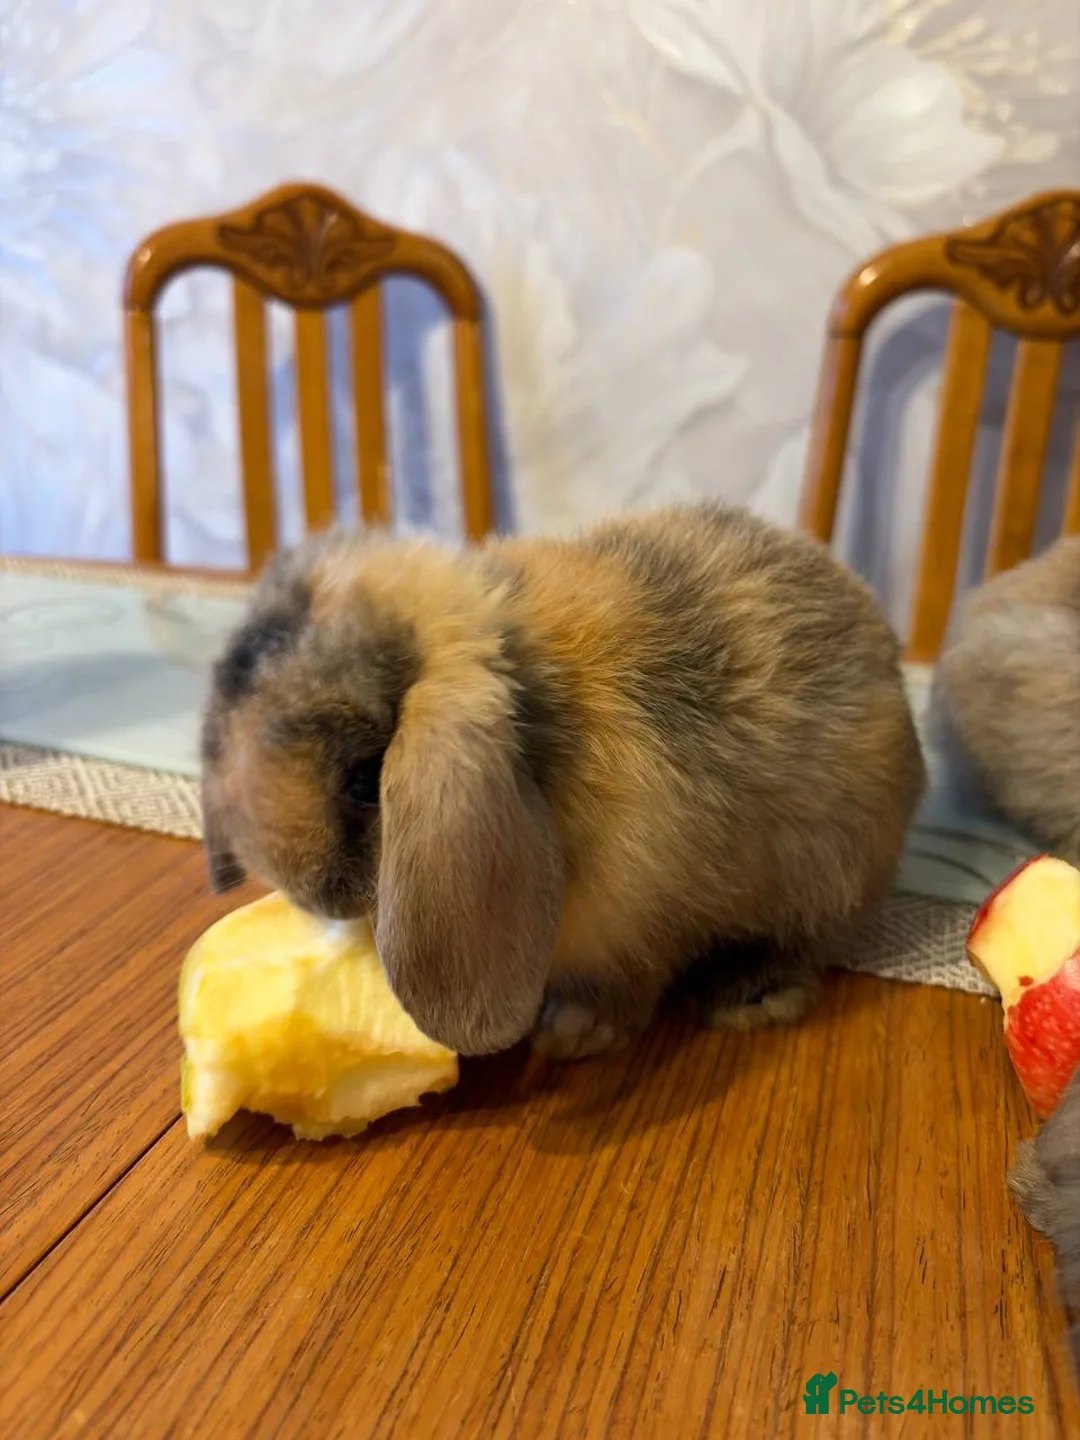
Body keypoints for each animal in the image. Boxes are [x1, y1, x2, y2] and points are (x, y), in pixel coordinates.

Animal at [200, 502, 925, 1059]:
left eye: (362, 779)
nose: (313, 897)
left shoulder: (639, 921)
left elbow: (627, 984)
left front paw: (572, 1034)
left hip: (829, 875)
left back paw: (751, 997)